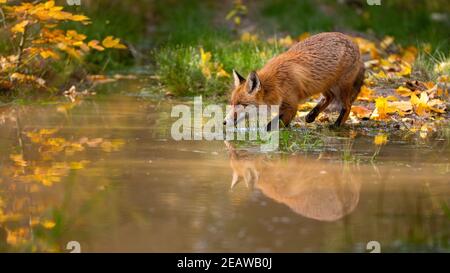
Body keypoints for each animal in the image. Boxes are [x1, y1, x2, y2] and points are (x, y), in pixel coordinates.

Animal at [223, 31, 364, 127]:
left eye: (242, 105)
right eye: (232, 103)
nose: (224, 122)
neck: (275, 84)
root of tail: (353, 42)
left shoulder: (291, 106)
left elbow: (273, 126)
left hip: (341, 87)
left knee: (347, 106)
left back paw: (337, 125)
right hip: (323, 84)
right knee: (329, 97)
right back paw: (312, 115)